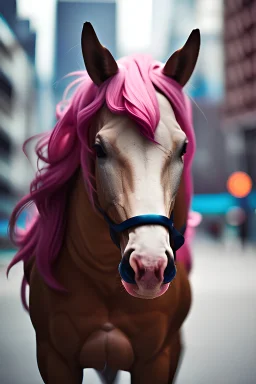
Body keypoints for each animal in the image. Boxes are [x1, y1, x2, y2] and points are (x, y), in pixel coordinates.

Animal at [7, 22, 200, 382]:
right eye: (99, 148)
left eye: (183, 148)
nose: (149, 267)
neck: (105, 281)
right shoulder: (55, 359)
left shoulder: (157, 361)